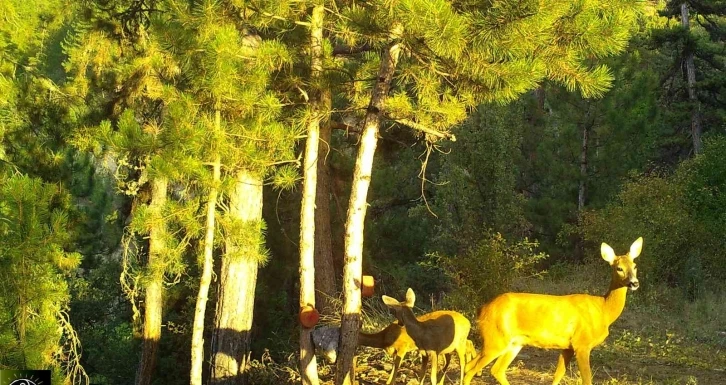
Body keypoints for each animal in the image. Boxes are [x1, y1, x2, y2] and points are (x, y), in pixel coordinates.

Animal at [464, 237, 644, 384]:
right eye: (619, 268)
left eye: (635, 266)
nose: (634, 283)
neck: (603, 310)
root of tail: (482, 309)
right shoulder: (582, 343)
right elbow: (586, 379)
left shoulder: (568, 346)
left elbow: (558, 375)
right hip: (496, 338)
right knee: (471, 369)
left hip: (512, 342)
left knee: (493, 369)